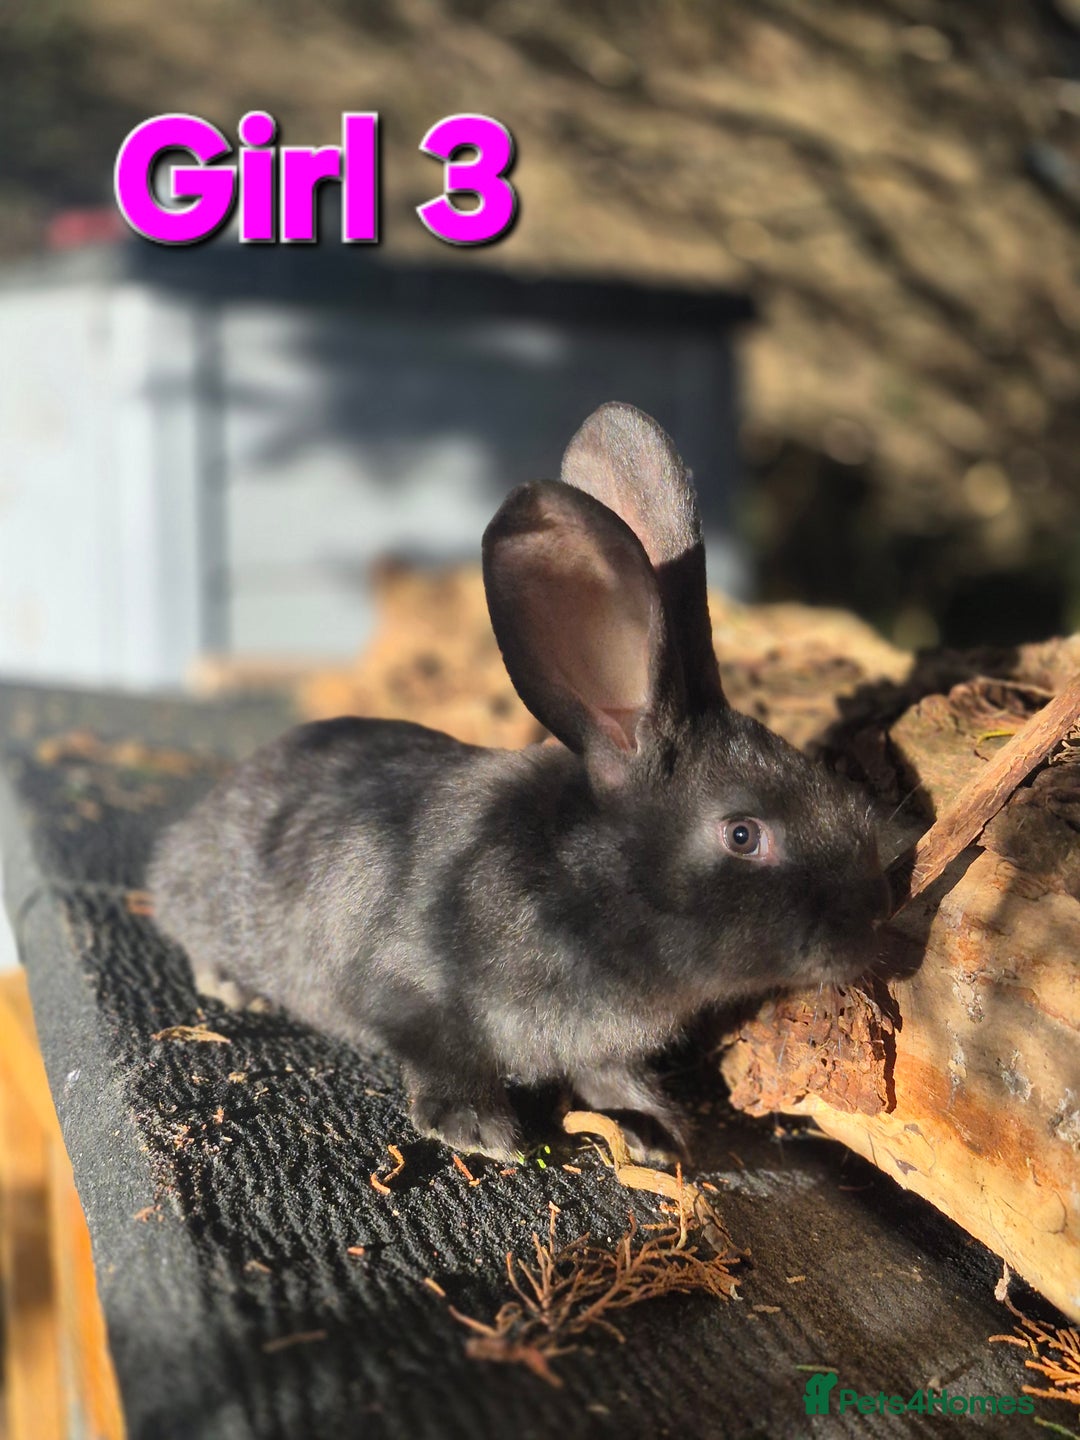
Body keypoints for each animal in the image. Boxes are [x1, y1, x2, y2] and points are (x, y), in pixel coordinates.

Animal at [149, 402, 890, 1163]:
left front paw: (655, 1131)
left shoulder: (603, 1047)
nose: (875, 926)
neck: (582, 886)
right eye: (743, 835)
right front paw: (477, 1128)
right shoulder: (404, 985)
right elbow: (439, 1052)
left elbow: (609, 1076)